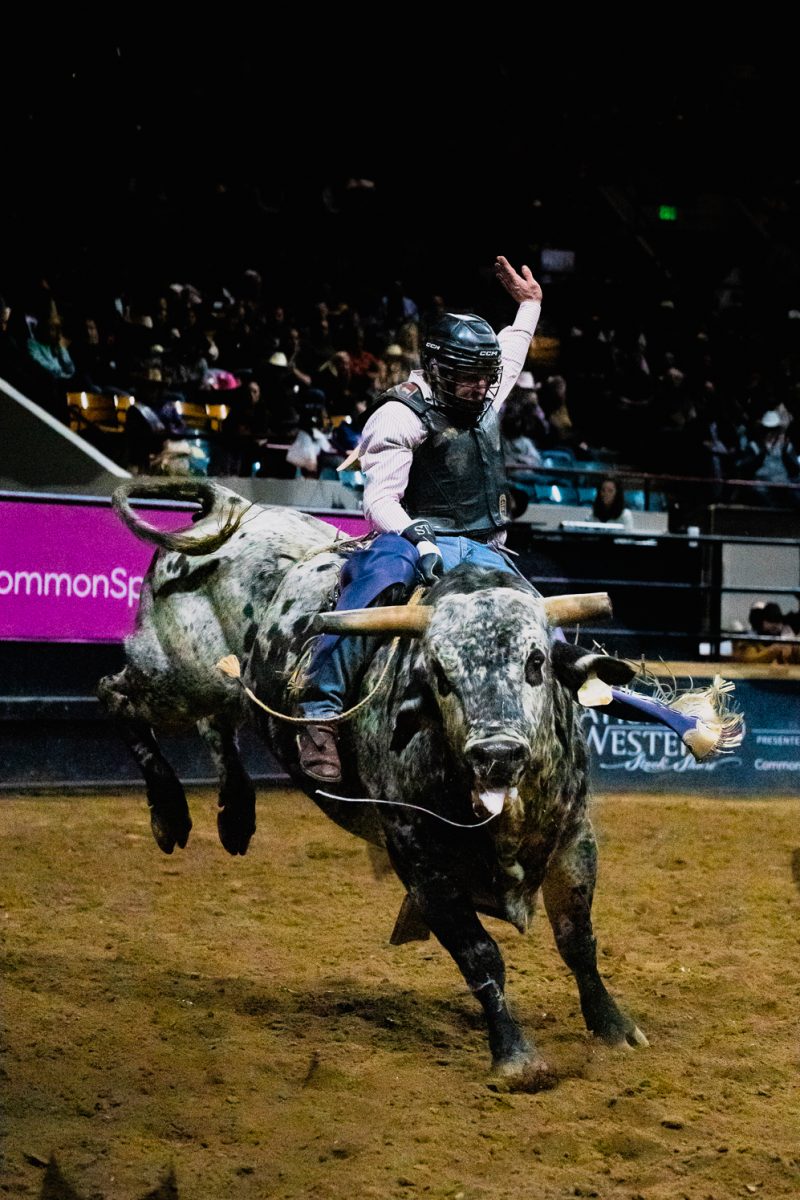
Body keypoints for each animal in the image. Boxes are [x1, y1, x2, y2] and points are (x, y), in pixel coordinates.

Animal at [101, 480, 671, 1089]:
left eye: (535, 661)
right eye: (440, 672)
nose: (497, 753)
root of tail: (235, 508)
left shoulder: (574, 833)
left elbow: (576, 936)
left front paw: (614, 1027)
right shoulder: (417, 854)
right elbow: (480, 954)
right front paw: (516, 1056)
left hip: (213, 683)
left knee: (216, 722)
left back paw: (235, 815)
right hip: (173, 673)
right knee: (116, 694)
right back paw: (169, 812)